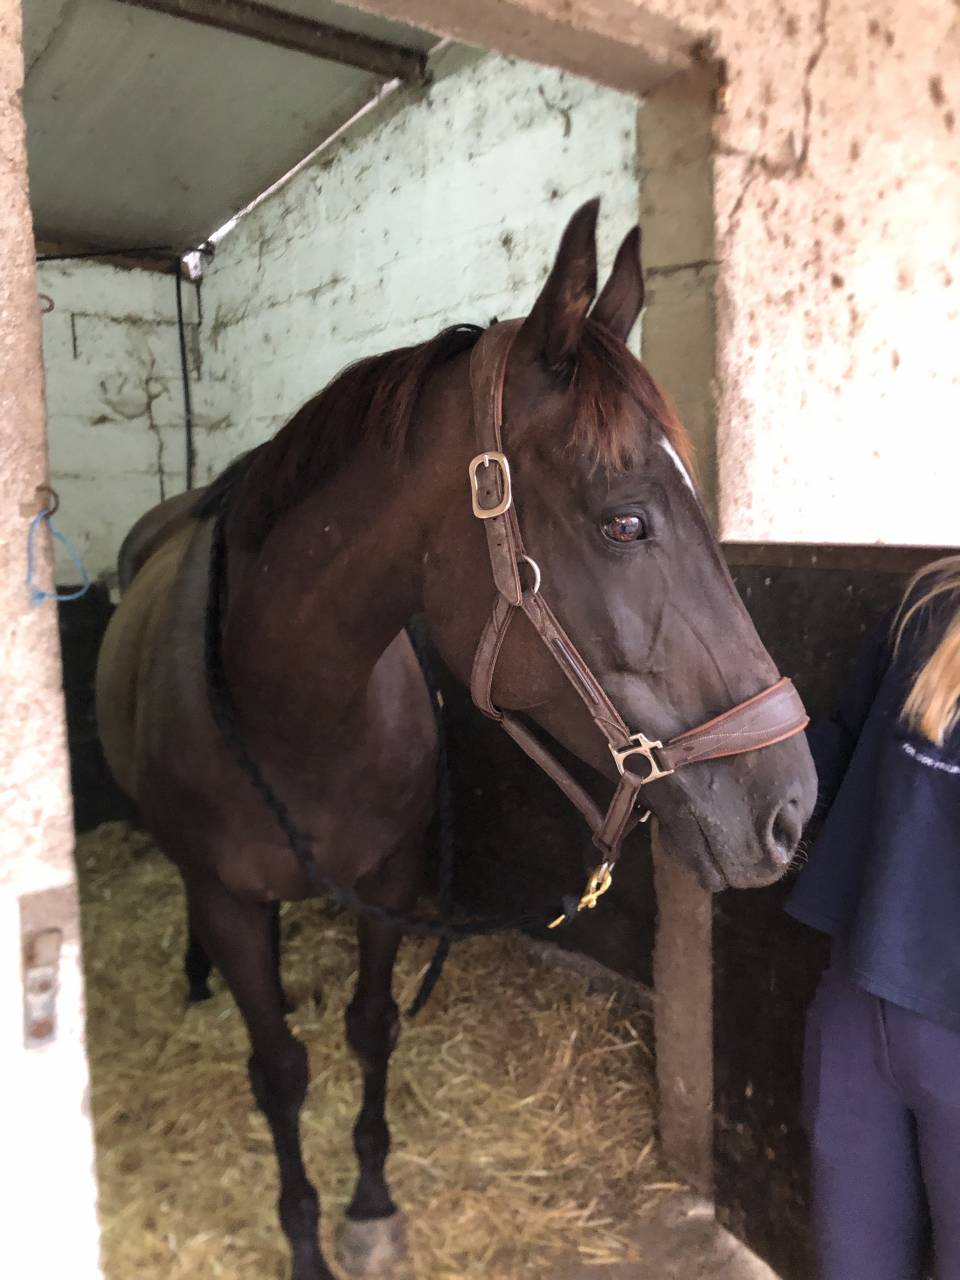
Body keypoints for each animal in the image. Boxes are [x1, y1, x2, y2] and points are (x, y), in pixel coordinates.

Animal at [95, 199, 816, 1280]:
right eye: (626, 522)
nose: (790, 806)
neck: (296, 707)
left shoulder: (392, 880)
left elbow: (371, 1028)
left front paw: (371, 1205)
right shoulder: (228, 897)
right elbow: (279, 1071)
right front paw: (305, 1236)